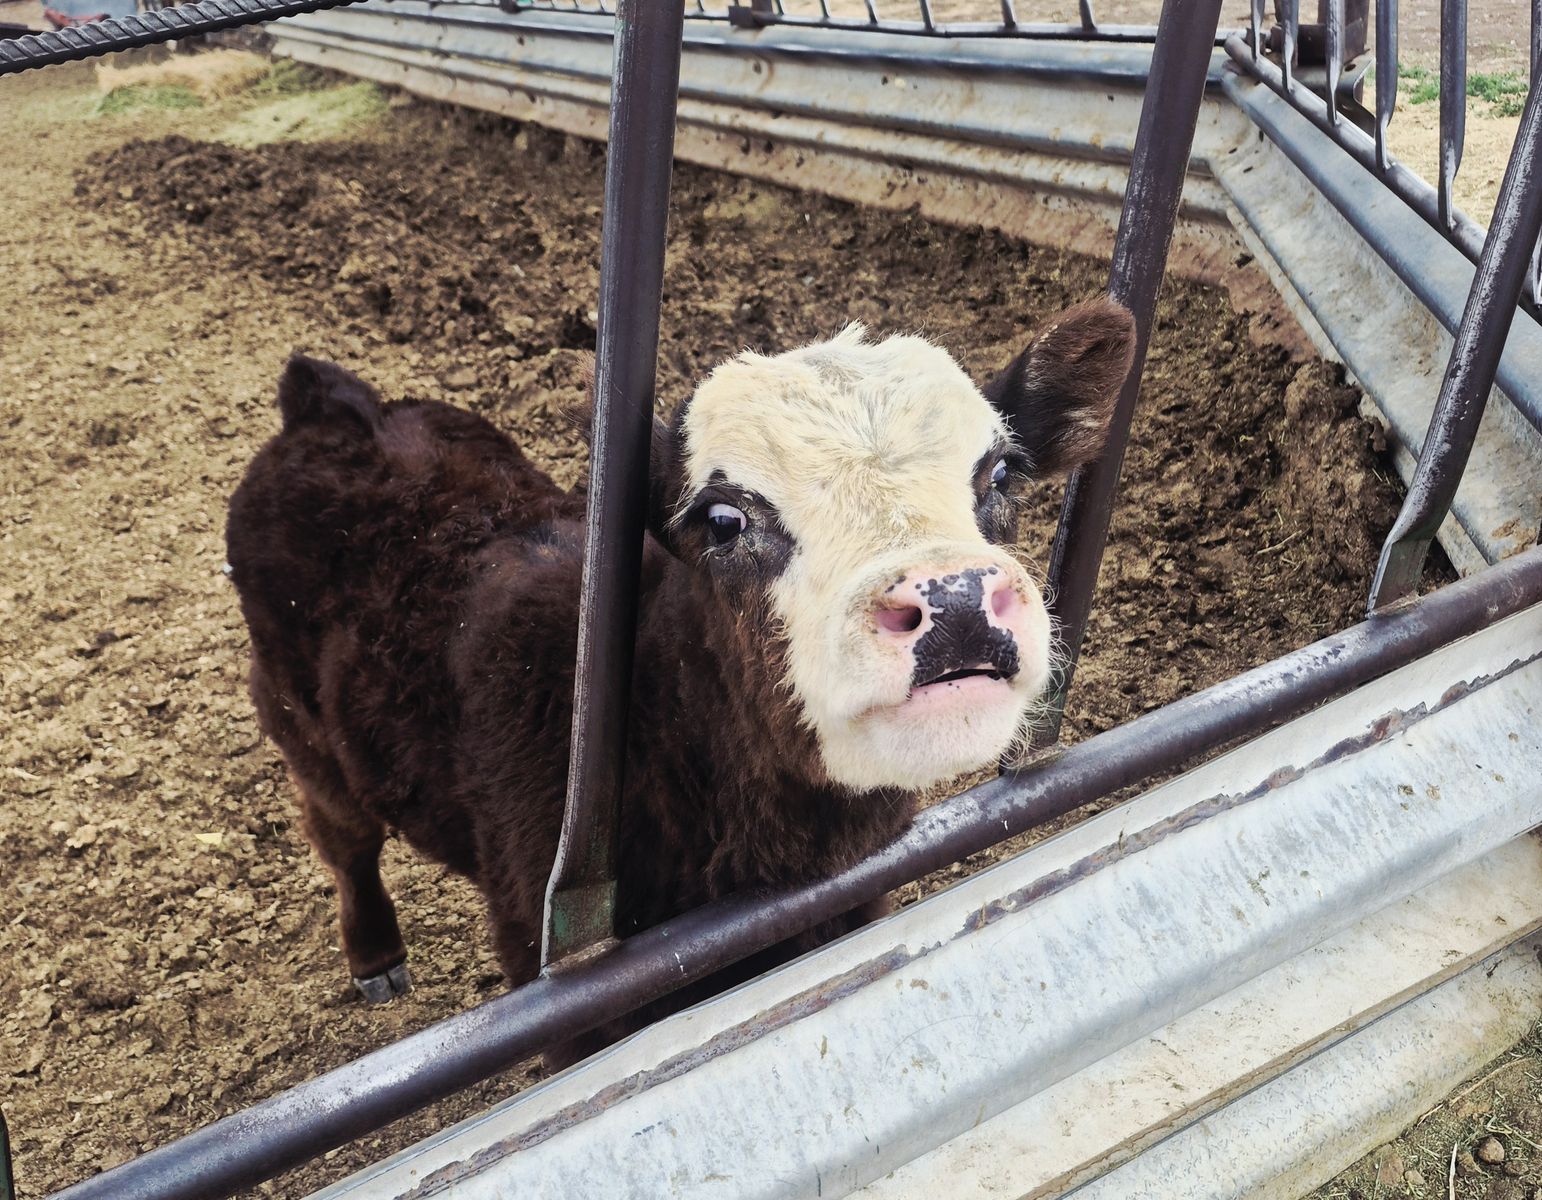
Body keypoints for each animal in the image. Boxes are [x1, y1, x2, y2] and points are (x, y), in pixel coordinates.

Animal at [225, 298, 1135, 1064]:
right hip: (297, 723)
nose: (954, 600)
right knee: (342, 836)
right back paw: (375, 954)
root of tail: (337, 409)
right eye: (723, 519)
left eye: (1003, 475)